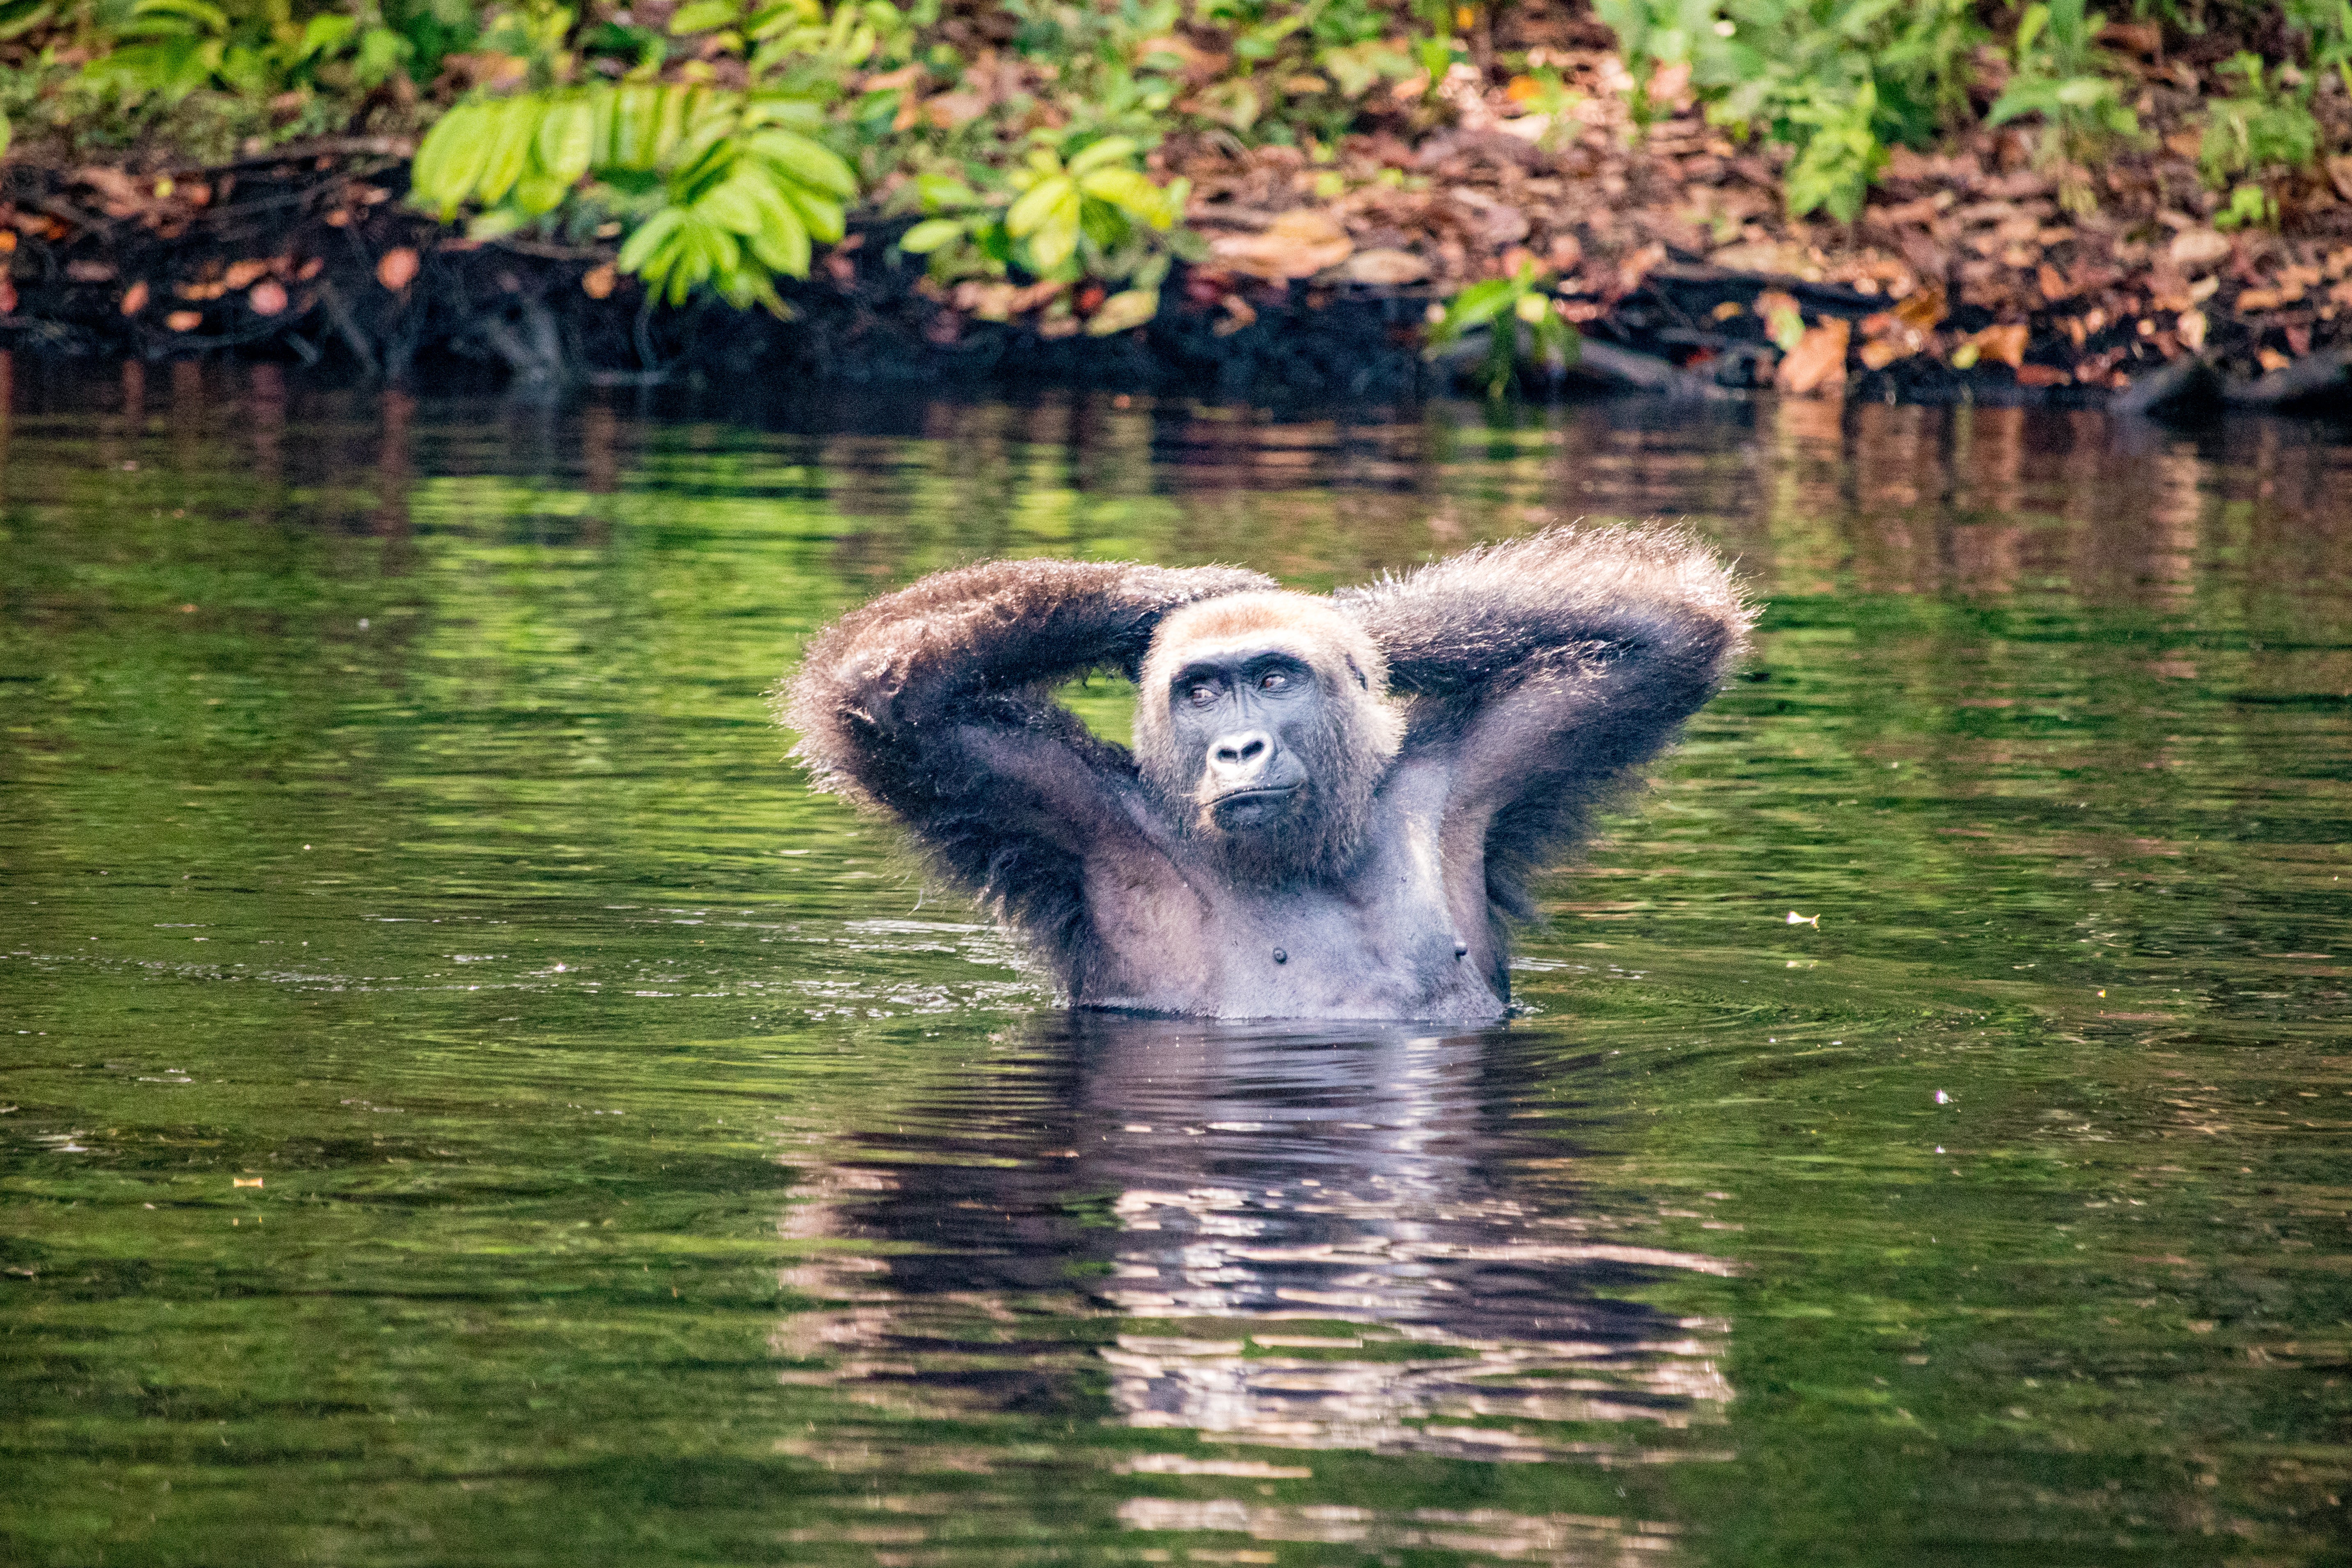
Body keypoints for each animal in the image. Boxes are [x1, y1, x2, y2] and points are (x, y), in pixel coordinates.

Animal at [785, 522, 1750, 1025]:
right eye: (1203, 692)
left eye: (1275, 679)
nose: (1239, 747)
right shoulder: (1058, 802)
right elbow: (883, 694)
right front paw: (1183, 590)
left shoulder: (1473, 773)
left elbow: (1663, 633)